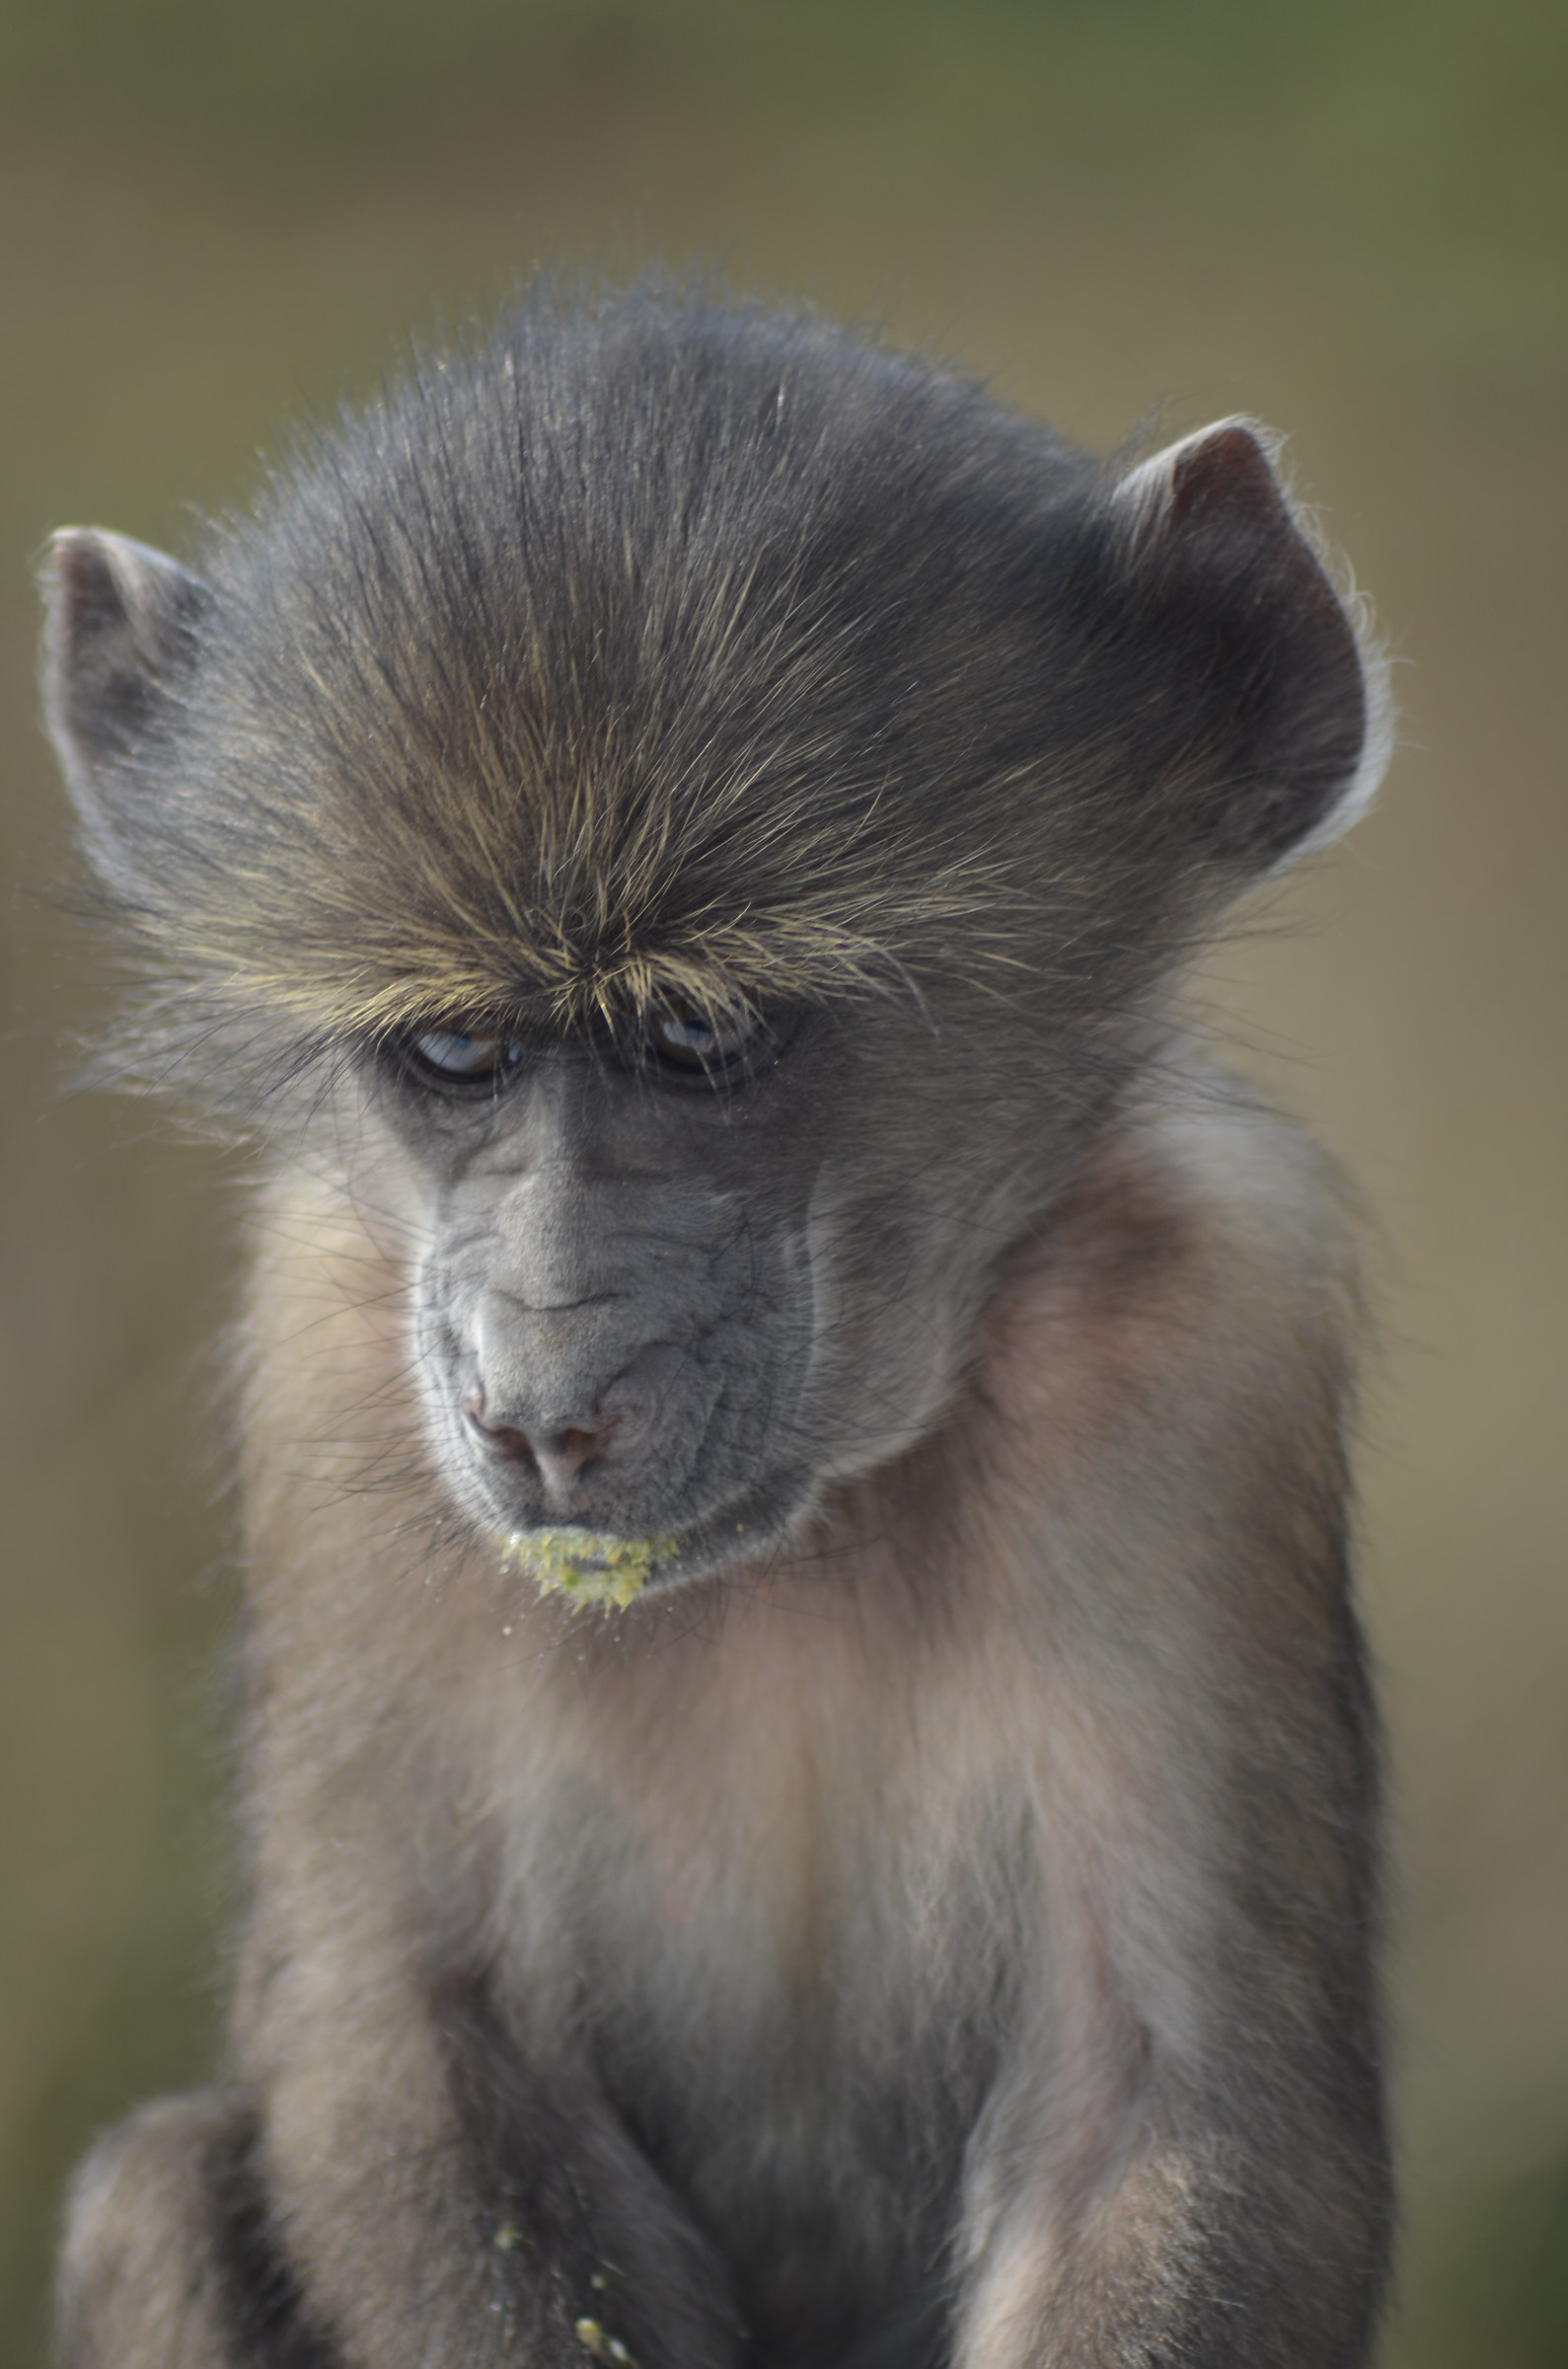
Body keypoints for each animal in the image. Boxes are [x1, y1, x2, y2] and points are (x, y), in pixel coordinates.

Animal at [39, 278, 1394, 2369]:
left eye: (699, 1035)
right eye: (457, 1053)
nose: (543, 1398)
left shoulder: (1200, 1335)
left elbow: (1167, 2106)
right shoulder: (325, 1346)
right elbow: (409, 2049)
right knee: (159, 2188)